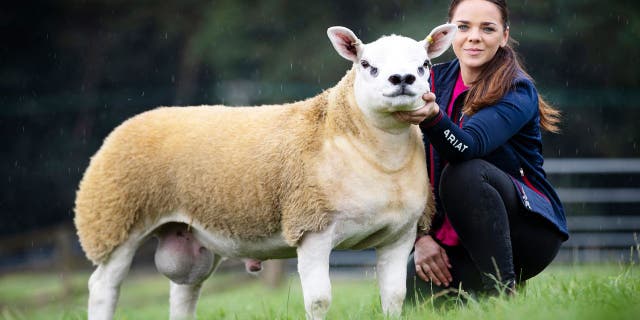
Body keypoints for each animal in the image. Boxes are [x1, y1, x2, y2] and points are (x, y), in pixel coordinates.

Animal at [74, 23, 456, 320]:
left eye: (425, 64)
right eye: (366, 64)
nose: (402, 79)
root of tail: (132, 121)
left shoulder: (400, 235)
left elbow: (394, 298)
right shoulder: (311, 227)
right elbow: (319, 300)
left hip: (189, 235)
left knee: (184, 292)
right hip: (115, 220)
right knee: (103, 286)